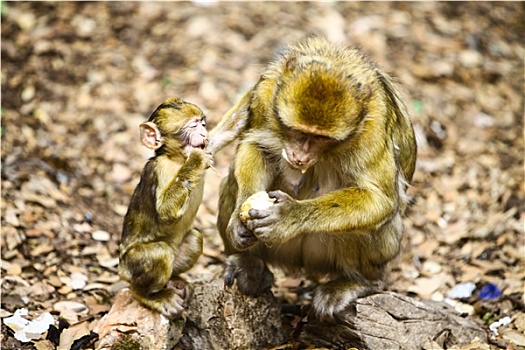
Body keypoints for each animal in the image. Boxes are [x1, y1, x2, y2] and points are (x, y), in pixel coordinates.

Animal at [118, 97, 213, 318]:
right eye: (193, 126)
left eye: (203, 124)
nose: (204, 134)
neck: (176, 160)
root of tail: (121, 270)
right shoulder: (158, 170)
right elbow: (165, 213)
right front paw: (196, 160)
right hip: (130, 267)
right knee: (159, 252)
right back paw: (149, 295)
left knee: (194, 238)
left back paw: (175, 280)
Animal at [215, 37, 416, 322]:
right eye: (298, 131)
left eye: (320, 138)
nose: (300, 155)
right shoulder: (266, 95)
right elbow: (256, 145)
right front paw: (239, 220)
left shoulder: (373, 127)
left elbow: (379, 199)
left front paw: (289, 216)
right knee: (231, 181)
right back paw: (250, 263)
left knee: (376, 226)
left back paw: (360, 282)